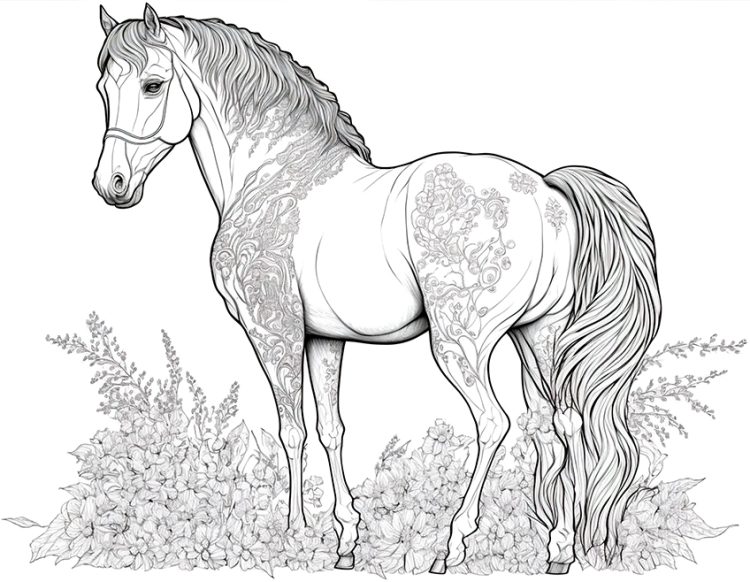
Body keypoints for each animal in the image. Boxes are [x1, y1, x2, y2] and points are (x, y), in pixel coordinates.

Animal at [92, 5, 661, 574]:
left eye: (152, 84)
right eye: (103, 87)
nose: (111, 185)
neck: (273, 174)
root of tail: (545, 191)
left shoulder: (272, 331)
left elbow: (291, 429)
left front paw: (294, 532)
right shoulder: (323, 339)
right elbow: (330, 429)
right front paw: (345, 539)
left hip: (462, 343)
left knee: (495, 423)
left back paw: (452, 546)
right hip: (538, 337)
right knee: (561, 424)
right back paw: (560, 549)